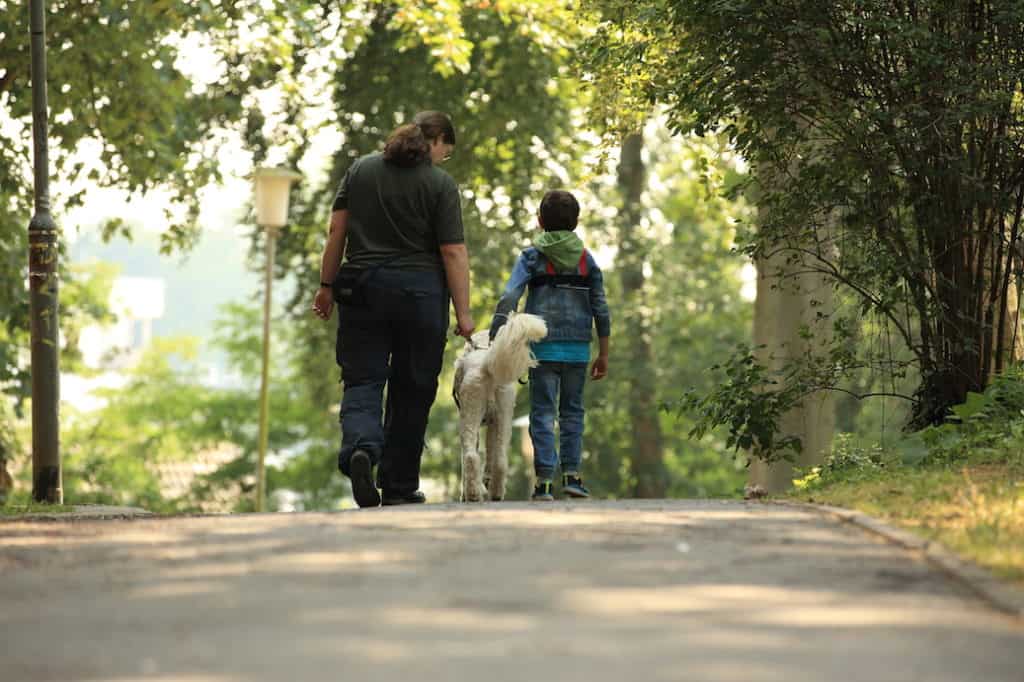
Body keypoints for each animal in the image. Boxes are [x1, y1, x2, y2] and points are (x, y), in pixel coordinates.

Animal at [454, 311, 548, 499]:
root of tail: (485, 367)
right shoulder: (494, 421)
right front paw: (485, 481)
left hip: (472, 413)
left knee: (470, 456)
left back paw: (474, 494)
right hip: (503, 412)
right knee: (498, 460)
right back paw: (491, 493)